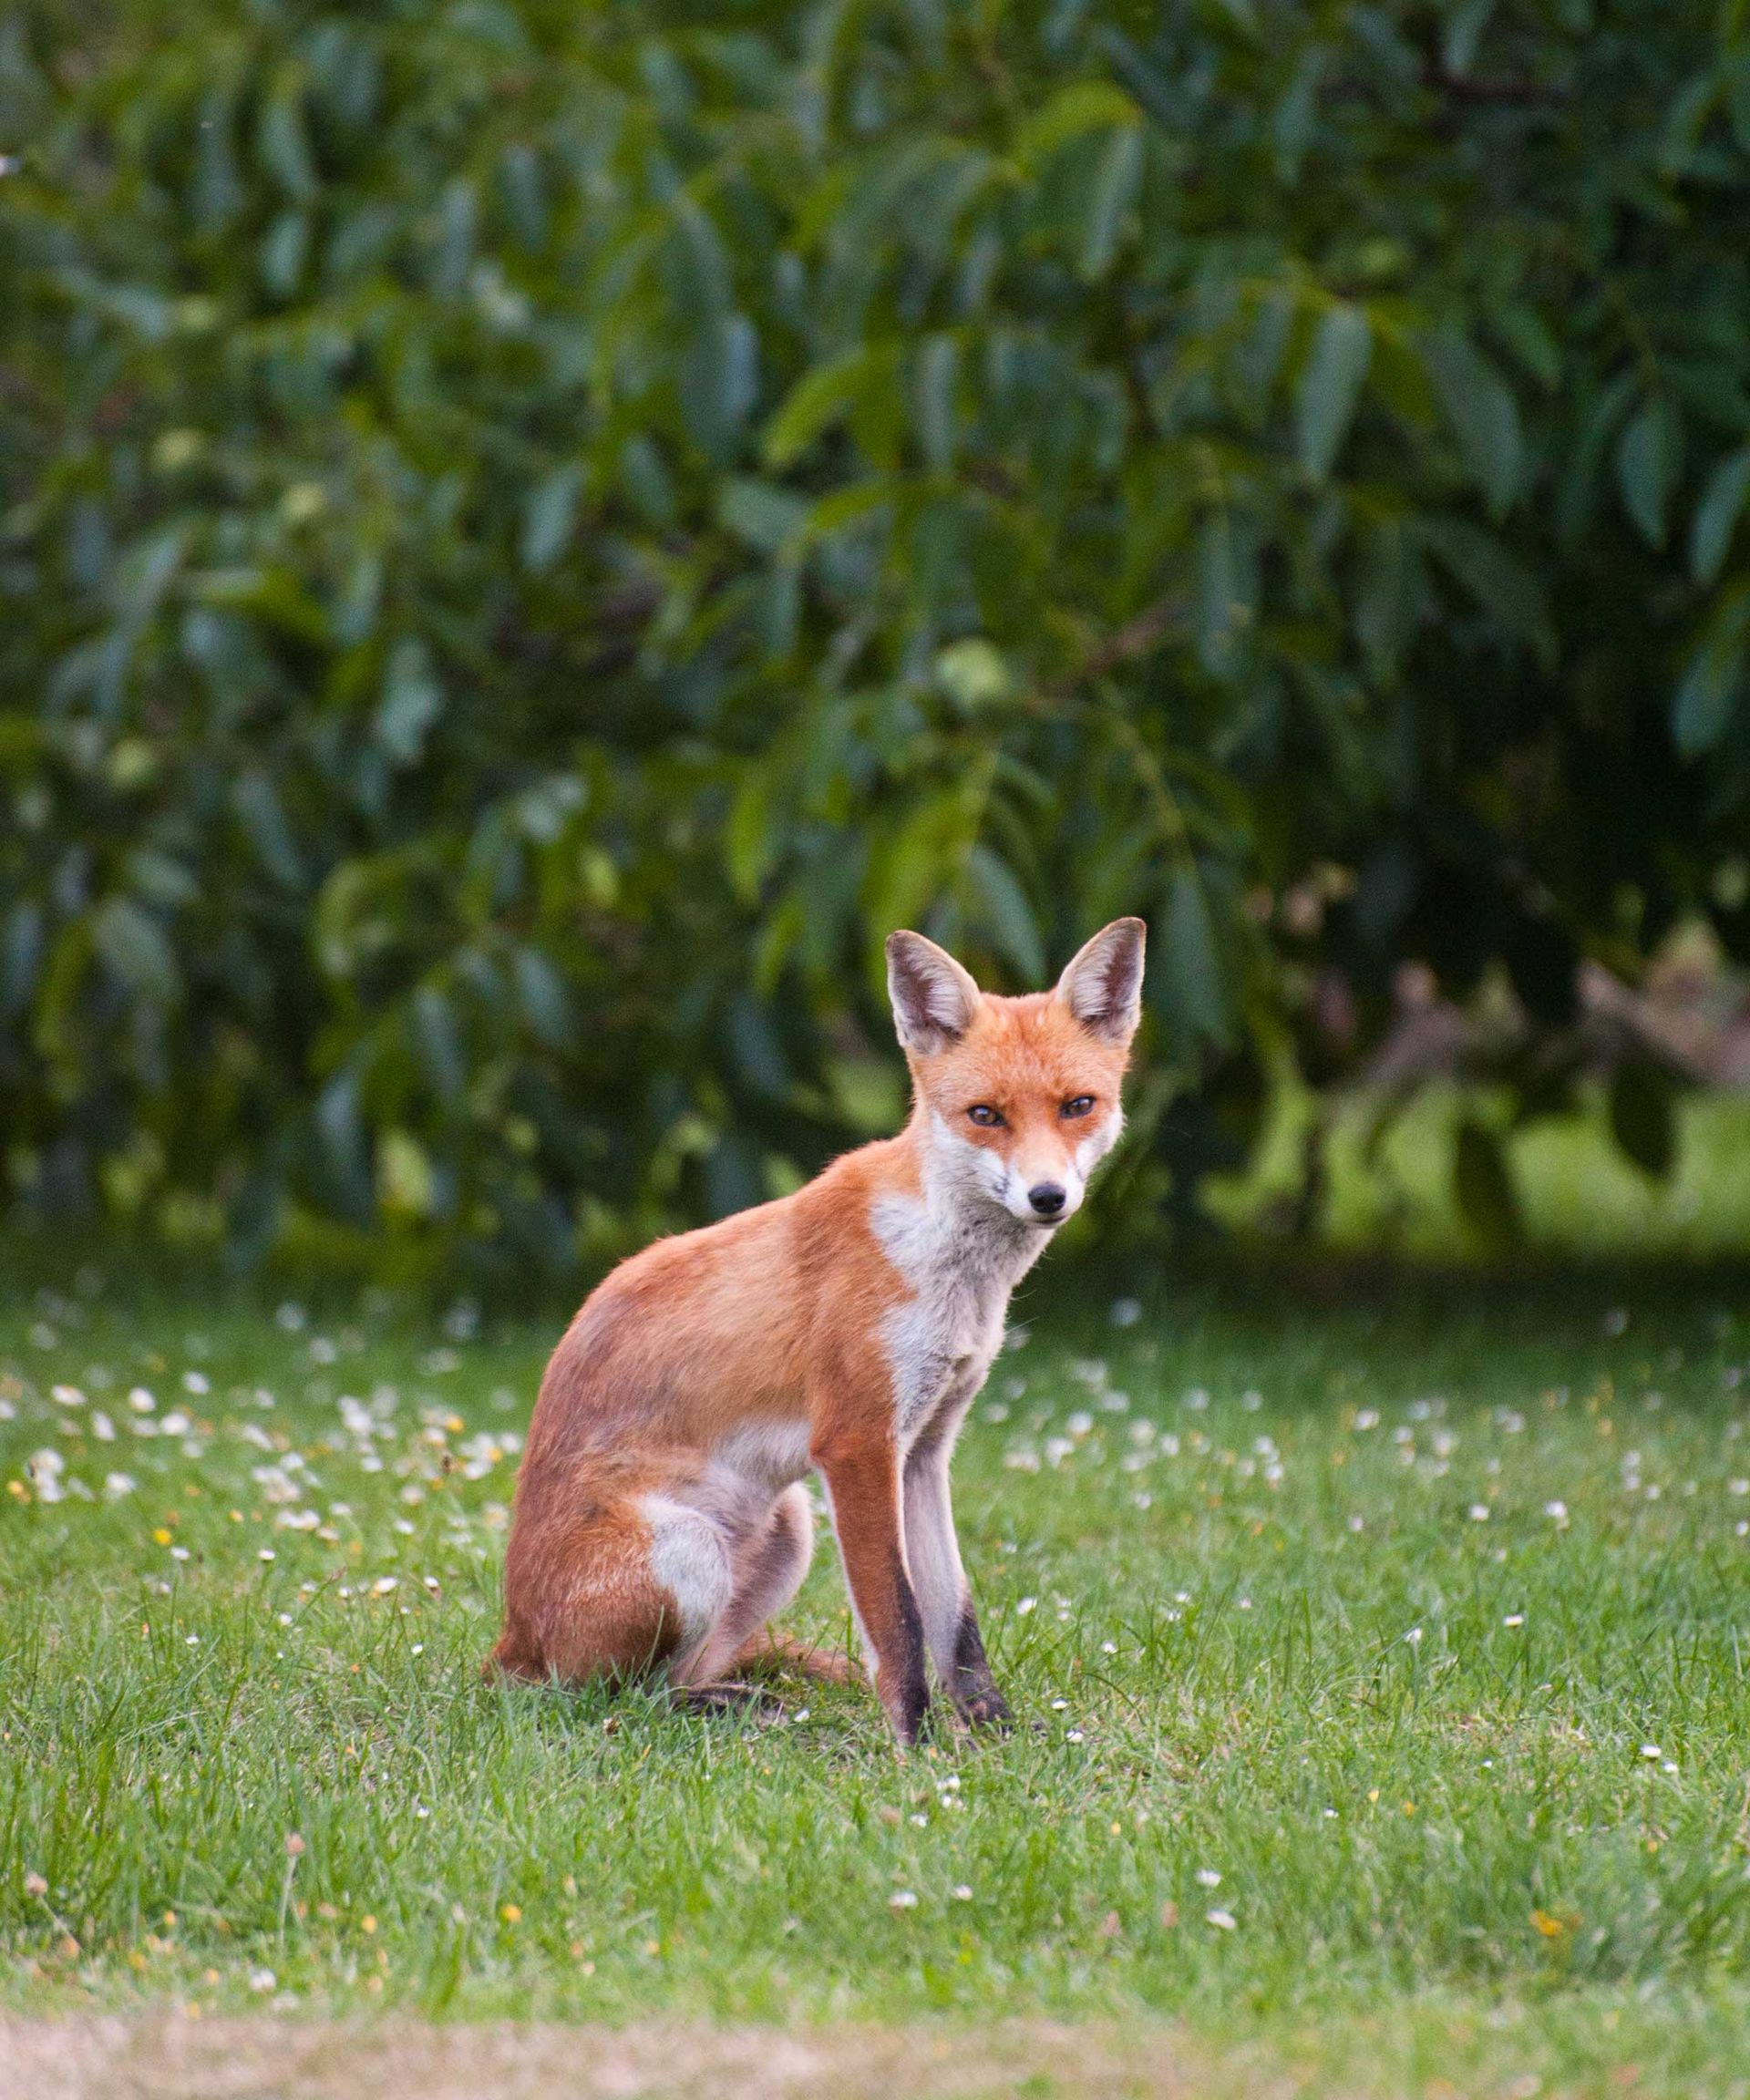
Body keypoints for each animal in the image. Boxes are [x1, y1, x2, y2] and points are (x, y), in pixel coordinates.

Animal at [489, 917, 1146, 1744]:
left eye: (1077, 1105)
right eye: (985, 1115)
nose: (1048, 1196)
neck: (945, 1268)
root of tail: (508, 1644)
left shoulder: (925, 1450)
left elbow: (956, 1621)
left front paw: (995, 1734)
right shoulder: (857, 1443)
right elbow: (898, 1620)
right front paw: (917, 1746)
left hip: (788, 1531)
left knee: (676, 1678)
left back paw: (731, 1700)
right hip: (689, 1553)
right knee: (607, 1701)